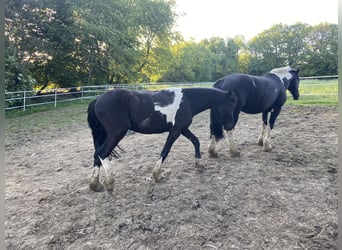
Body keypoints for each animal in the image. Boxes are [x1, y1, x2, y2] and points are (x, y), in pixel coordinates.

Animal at [87, 87, 238, 192]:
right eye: (230, 105)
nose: (230, 126)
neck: (187, 101)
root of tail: (97, 100)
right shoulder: (175, 131)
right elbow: (165, 150)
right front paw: (157, 174)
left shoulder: (182, 129)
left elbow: (196, 141)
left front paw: (199, 164)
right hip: (116, 133)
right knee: (101, 153)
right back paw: (109, 184)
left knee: (97, 155)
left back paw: (95, 184)